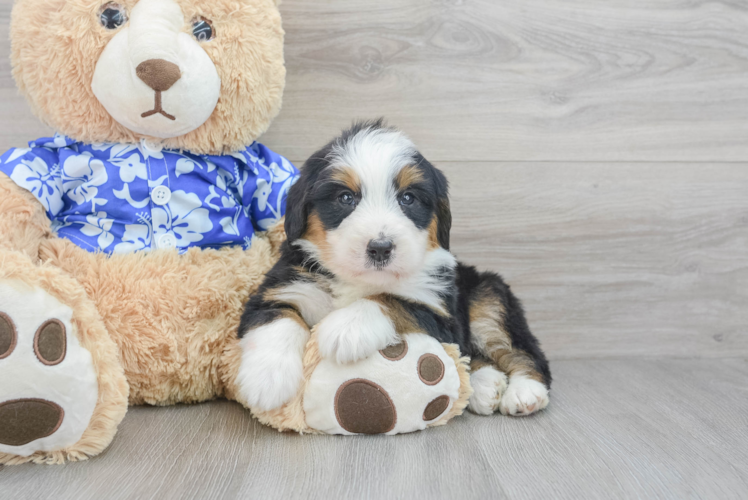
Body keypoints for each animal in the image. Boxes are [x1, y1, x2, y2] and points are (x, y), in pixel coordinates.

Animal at [237, 122, 552, 418]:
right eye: (346, 198)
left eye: (408, 198)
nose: (380, 248)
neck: (357, 280)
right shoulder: (283, 287)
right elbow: (279, 318)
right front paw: (267, 379)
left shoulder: (440, 312)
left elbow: (391, 300)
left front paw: (345, 328)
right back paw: (487, 384)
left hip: (488, 296)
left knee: (522, 350)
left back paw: (525, 392)